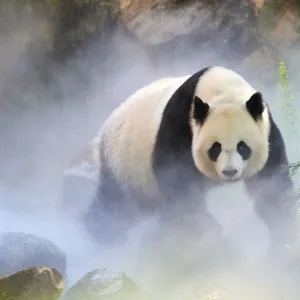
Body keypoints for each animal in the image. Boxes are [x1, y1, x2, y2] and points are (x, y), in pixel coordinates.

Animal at [84, 65, 298, 253]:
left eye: (242, 147)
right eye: (215, 148)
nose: (229, 172)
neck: (222, 91)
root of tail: (101, 135)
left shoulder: (268, 133)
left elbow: (272, 187)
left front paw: (284, 233)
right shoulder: (179, 127)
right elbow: (177, 183)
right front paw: (207, 228)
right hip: (122, 166)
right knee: (113, 204)